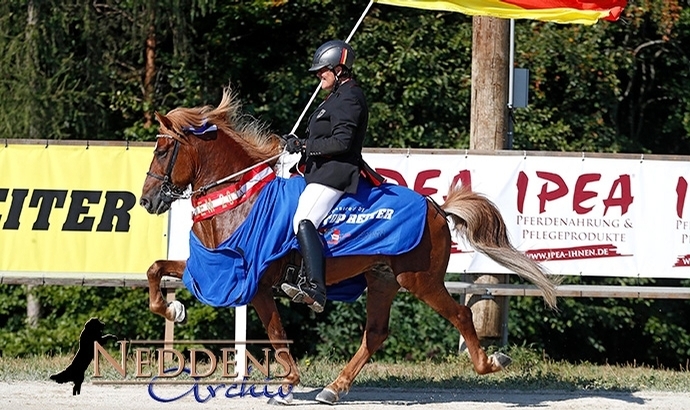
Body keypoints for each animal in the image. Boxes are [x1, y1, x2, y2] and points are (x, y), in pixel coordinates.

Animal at [140, 86, 560, 404]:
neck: (239, 200)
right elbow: (156, 268)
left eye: (162, 151)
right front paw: (173, 309)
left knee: (460, 315)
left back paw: (490, 363)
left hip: (420, 279)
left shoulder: (253, 281)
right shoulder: (215, 265)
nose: (146, 201)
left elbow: (275, 333)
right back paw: (334, 388)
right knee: (375, 333)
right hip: (383, 279)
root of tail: (436, 207)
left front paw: (288, 382)